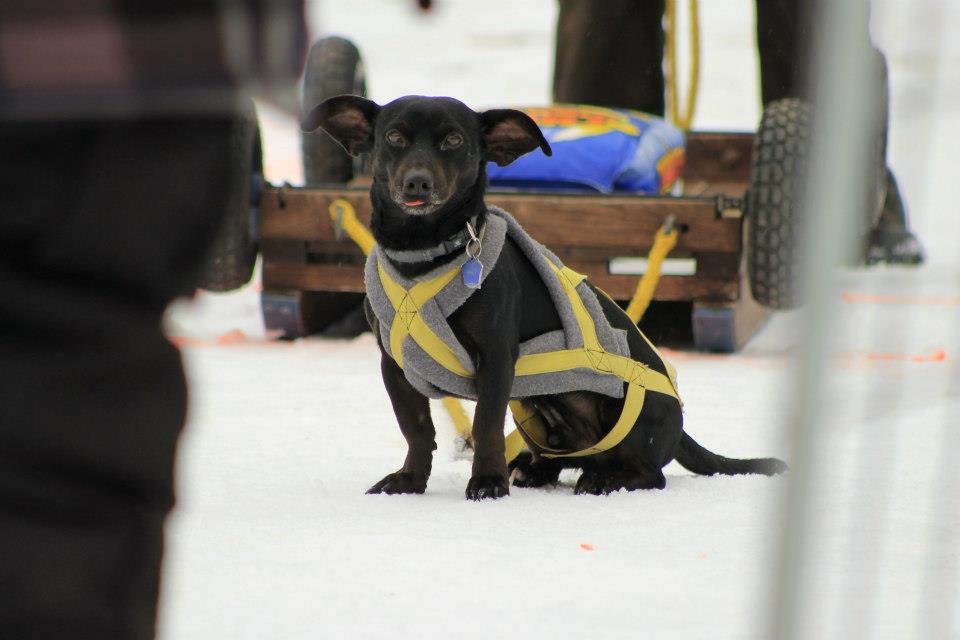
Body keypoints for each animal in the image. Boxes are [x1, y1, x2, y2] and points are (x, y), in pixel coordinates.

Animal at [302, 95, 788, 500]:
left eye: (454, 140)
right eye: (394, 137)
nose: (417, 183)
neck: (425, 254)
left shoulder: (496, 359)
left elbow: (485, 425)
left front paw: (487, 481)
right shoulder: (395, 364)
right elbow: (417, 429)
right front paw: (410, 480)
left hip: (632, 420)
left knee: (650, 472)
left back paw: (603, 480)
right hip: (536, 414)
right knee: (557, 461)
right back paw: (534, 470)